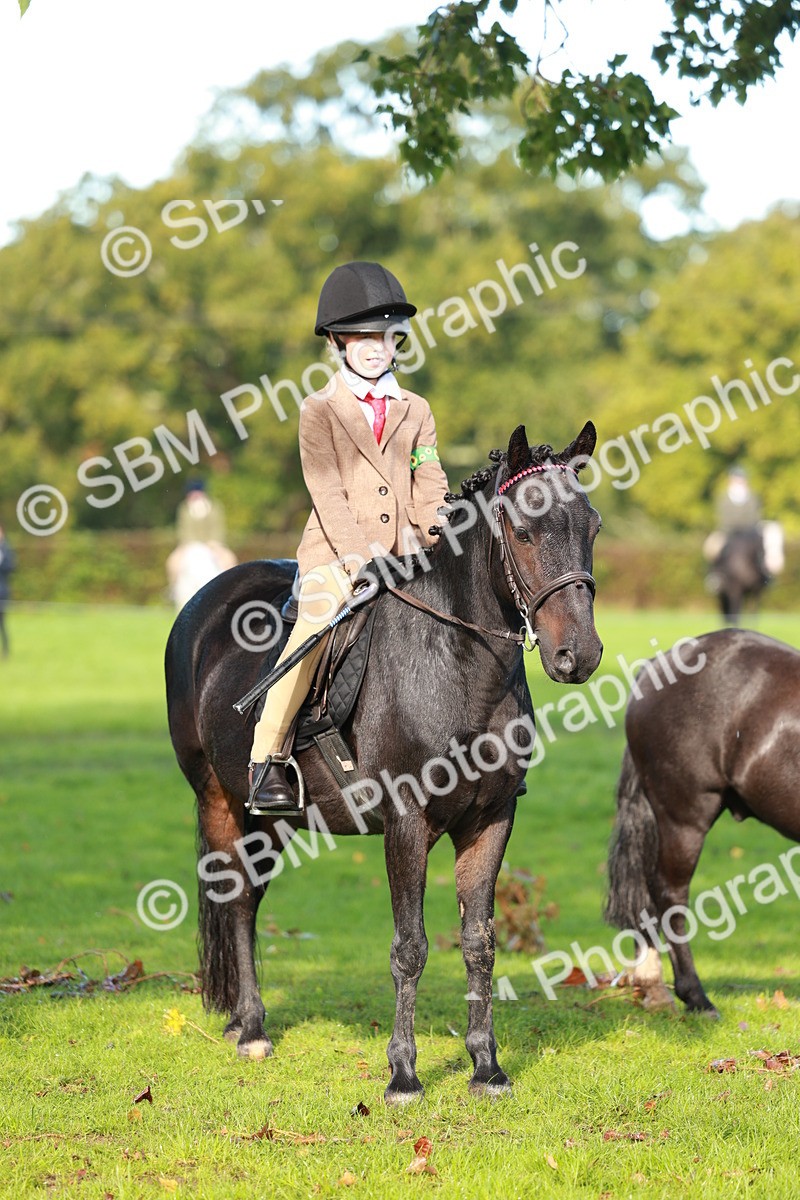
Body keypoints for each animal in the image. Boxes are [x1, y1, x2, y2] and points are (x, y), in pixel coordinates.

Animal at [165, 422, 603, 1102]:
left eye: (593, 527)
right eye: (525, 532)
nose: (577, 655)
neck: (458, 662)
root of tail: (206, 597)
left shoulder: (491, 821)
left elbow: (479, 943)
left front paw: (486, 1066)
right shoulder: (406, 823)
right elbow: (411, 947)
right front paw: (403, 1073)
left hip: (274, 818)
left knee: (252, 899)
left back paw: (241, 1016)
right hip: (218, 796)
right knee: (235, 900)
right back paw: (253, 1030)